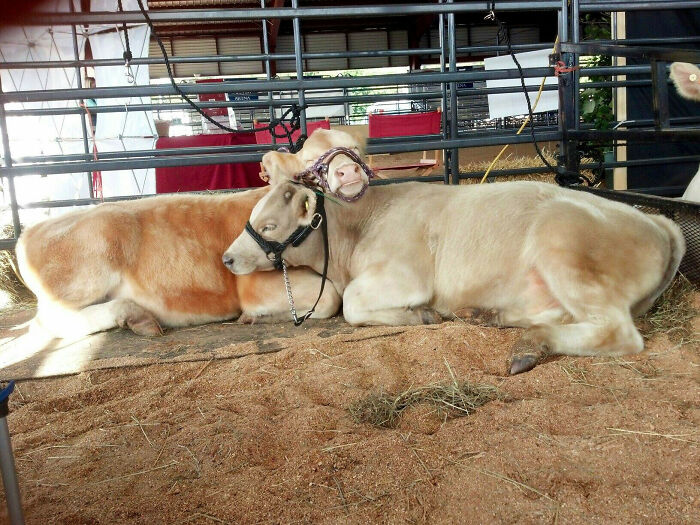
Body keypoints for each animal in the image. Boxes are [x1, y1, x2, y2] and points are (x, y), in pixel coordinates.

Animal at [16, 187, 341, 340]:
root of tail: (29, 231)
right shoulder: (252, 284)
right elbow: (330, 297)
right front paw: (258, 317)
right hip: (91, 258)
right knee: (45, 322)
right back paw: (136, 316)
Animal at [222, 180, 685, 374]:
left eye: (267, 225)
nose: (227, 258)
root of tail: (655, 220)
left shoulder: (406, 275)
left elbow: (352, 303)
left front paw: (422, 315)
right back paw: (489, 316)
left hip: (562, 249)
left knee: (617, 332)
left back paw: (528, 345)